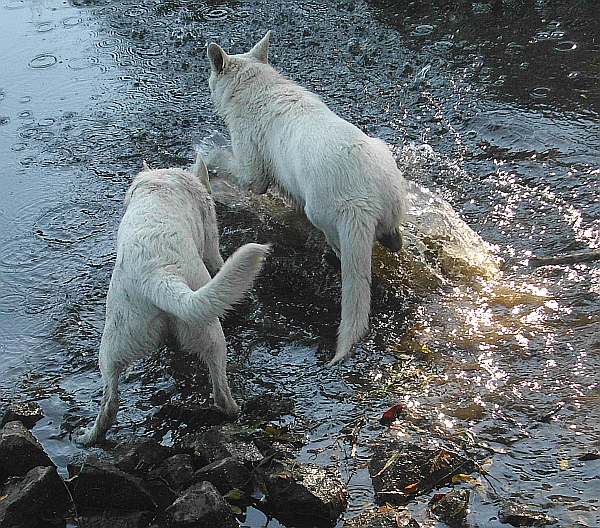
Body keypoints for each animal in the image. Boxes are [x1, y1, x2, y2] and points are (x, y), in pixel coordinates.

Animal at [77, 155, 270, 444]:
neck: (160, 183)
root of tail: (157, 274)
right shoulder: (211, 242)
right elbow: (217, 260)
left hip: (112, 345)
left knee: (109, 401)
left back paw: (89, 436)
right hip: (211, 332)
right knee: (220, 392)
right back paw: (237, 410)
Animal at [204, 31, 406, 366]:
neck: (258, 85)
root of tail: (363, 201)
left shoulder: (252, 164)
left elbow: (239, 171)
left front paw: (207, 158)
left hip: (325, 210)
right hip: (388, 176)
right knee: (392, 234)